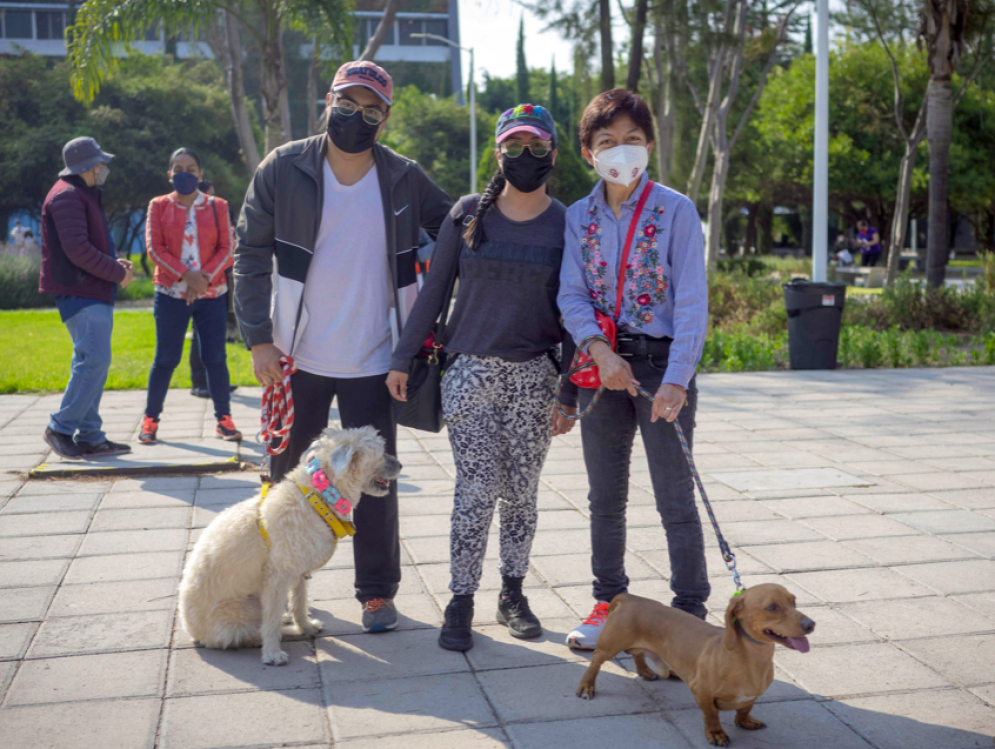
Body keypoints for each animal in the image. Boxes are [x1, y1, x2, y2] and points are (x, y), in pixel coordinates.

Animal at [179, 424, 400, 664]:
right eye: (380, 451)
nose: (400, 465)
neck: (317, 499)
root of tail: (193, 633)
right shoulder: (278, 577)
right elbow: (272, 619)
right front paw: (272, 653)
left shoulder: (298, 572)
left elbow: (299, 604)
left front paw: (306, 626)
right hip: (242, 609)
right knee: (250, 631)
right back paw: (278, 634)